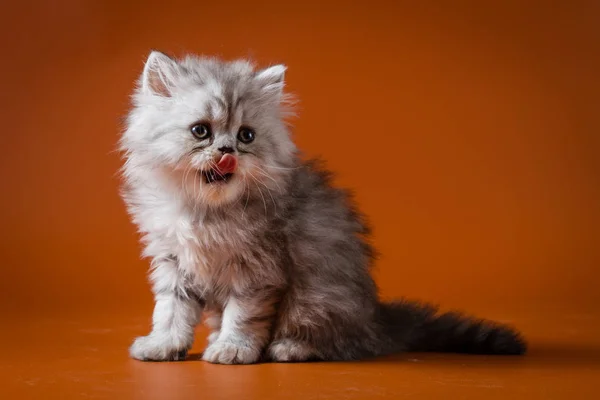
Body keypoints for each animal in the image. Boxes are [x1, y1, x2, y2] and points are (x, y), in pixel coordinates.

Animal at [120, 51, 524, 364]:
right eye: (201, 131)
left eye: (246, 135)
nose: (227, 151)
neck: (205, 211)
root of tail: (376, 320)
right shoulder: (173, 260)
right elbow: (171, 312)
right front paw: (163, 346)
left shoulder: (258, 272)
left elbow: (243, 316)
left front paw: (232, 349)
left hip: (317, 297)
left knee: (335, 342)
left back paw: (289, 348)